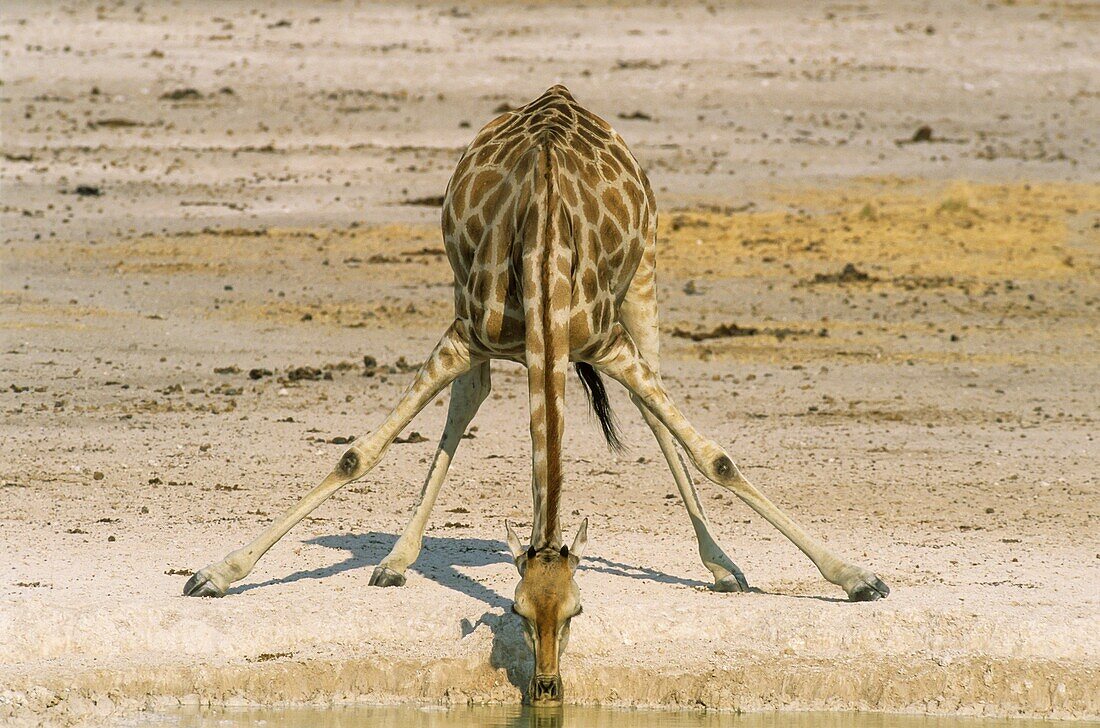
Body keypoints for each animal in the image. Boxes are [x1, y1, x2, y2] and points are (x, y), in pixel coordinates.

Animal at [184, 85, 888, 708]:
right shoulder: (466, 334)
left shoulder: (607, 341)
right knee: (471, 397)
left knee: (653, 413)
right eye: (519, 609)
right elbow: (358, 454)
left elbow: (717, 457)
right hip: (467, 297)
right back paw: (397, 559)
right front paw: (216, 573)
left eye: (577, 609)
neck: (546, 254)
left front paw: (858, 577)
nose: (548, 687)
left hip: (644, 280)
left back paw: (722, 566)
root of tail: (558, 94)